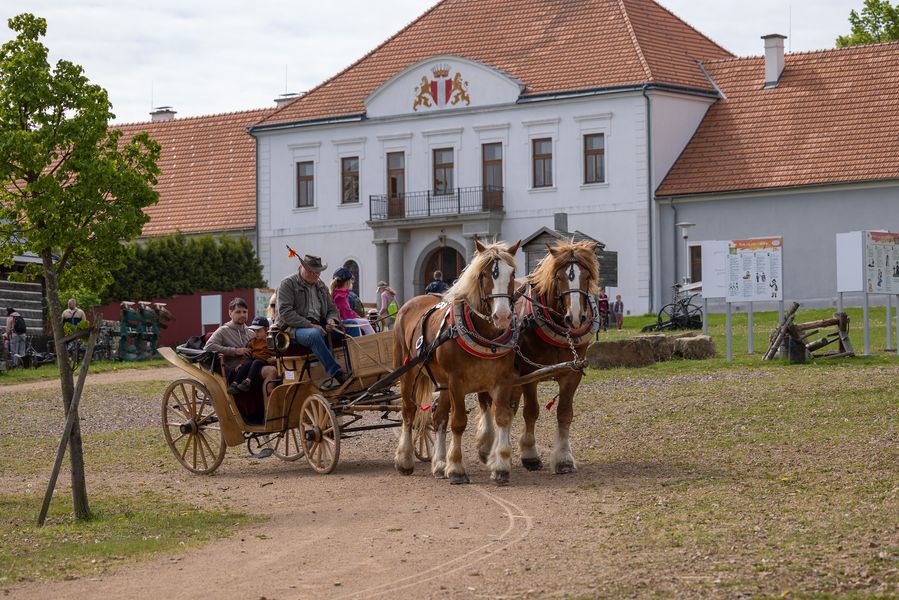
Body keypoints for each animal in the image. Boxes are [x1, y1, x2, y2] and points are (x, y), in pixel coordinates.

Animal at [392, 238, 520, 482]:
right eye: (484, 274)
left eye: (513, 273)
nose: (502, 316)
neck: (485, 336)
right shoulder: (456, 382)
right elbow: (459, 422)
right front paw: (457, 468)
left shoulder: (504, 380)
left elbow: (501, 417)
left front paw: (500, 466)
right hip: (407, 371)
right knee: (408, 411)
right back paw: (404, 459)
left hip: (441, 383)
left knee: (438, 417)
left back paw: (439, 463)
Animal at [478, 238, 596, 474]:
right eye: (559, 278)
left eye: (586, 277)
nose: (575, 318)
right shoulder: (529, 373)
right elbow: (531, 411)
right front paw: (530, 454)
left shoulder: (572, 373)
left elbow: (564, 412)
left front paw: (564, 458)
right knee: (487, 402)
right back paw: (487, 445)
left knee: (509, 407)